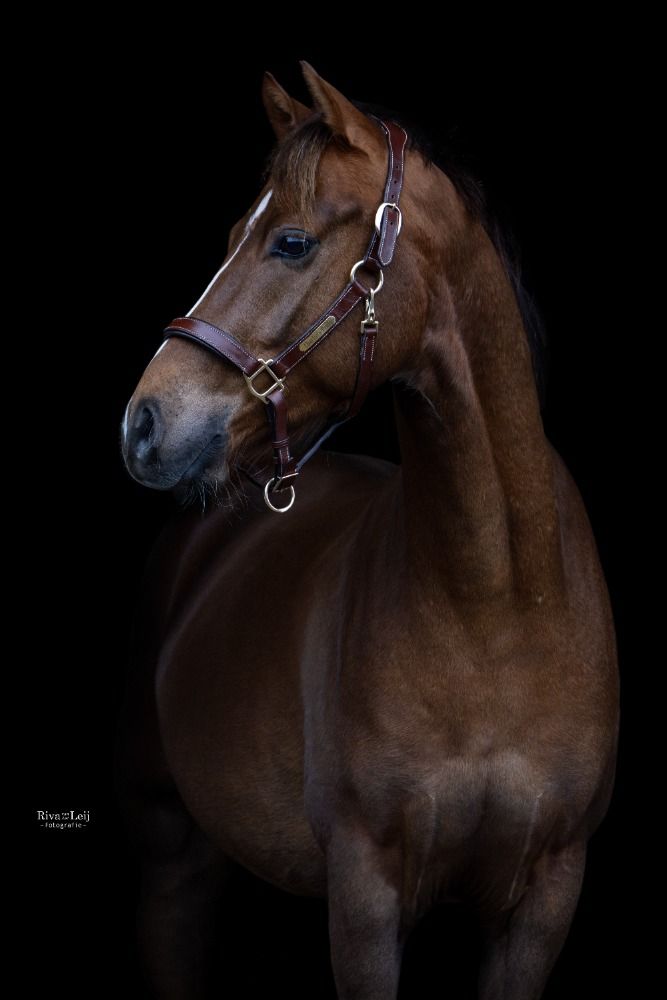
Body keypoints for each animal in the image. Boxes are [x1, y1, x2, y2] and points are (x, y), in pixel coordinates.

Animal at [119, 63, 618, 999]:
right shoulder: (364, 893)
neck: (494, 608)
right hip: (169, 849)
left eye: (289, 243)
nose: (141, 424)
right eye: (234, 233)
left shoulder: (544, 898)